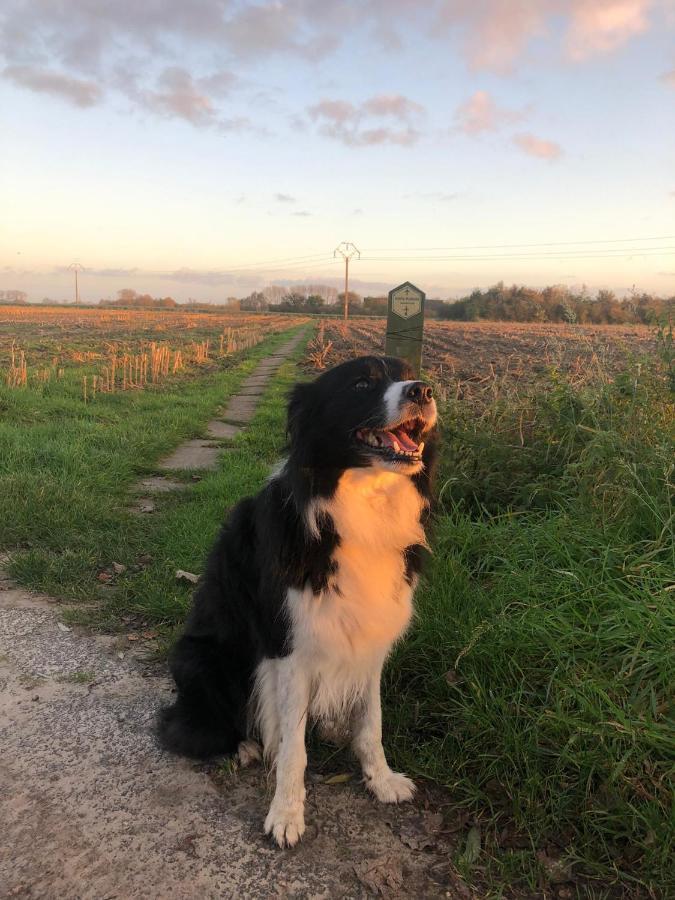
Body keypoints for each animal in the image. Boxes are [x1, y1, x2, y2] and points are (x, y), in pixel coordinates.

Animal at [158, 356, 438, 848]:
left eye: (409, 372)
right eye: (361, 383)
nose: (423, 391)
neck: (358, 505)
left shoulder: (371, 635)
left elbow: (371, 723)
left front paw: (382, 780)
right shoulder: (288, 646)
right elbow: (293, 747)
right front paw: (286, 814)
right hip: (197, 657)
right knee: (195, 724)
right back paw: (244, 745)